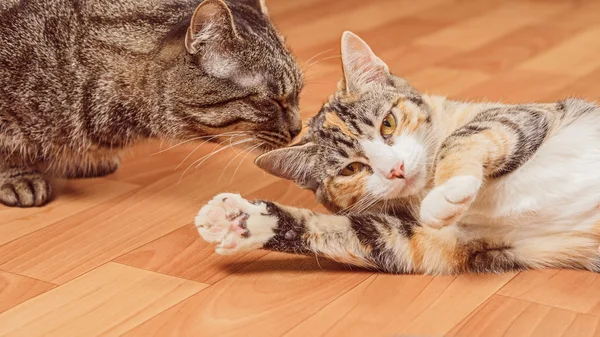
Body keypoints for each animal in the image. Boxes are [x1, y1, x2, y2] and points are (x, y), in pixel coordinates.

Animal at [193, 30, 600, 272]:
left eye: (387, 124)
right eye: (350, 170)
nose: (396, 169)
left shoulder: (527, 116)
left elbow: (467, 135)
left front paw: (447, 192)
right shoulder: (444, 242)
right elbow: (358, 234)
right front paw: (240, 219)